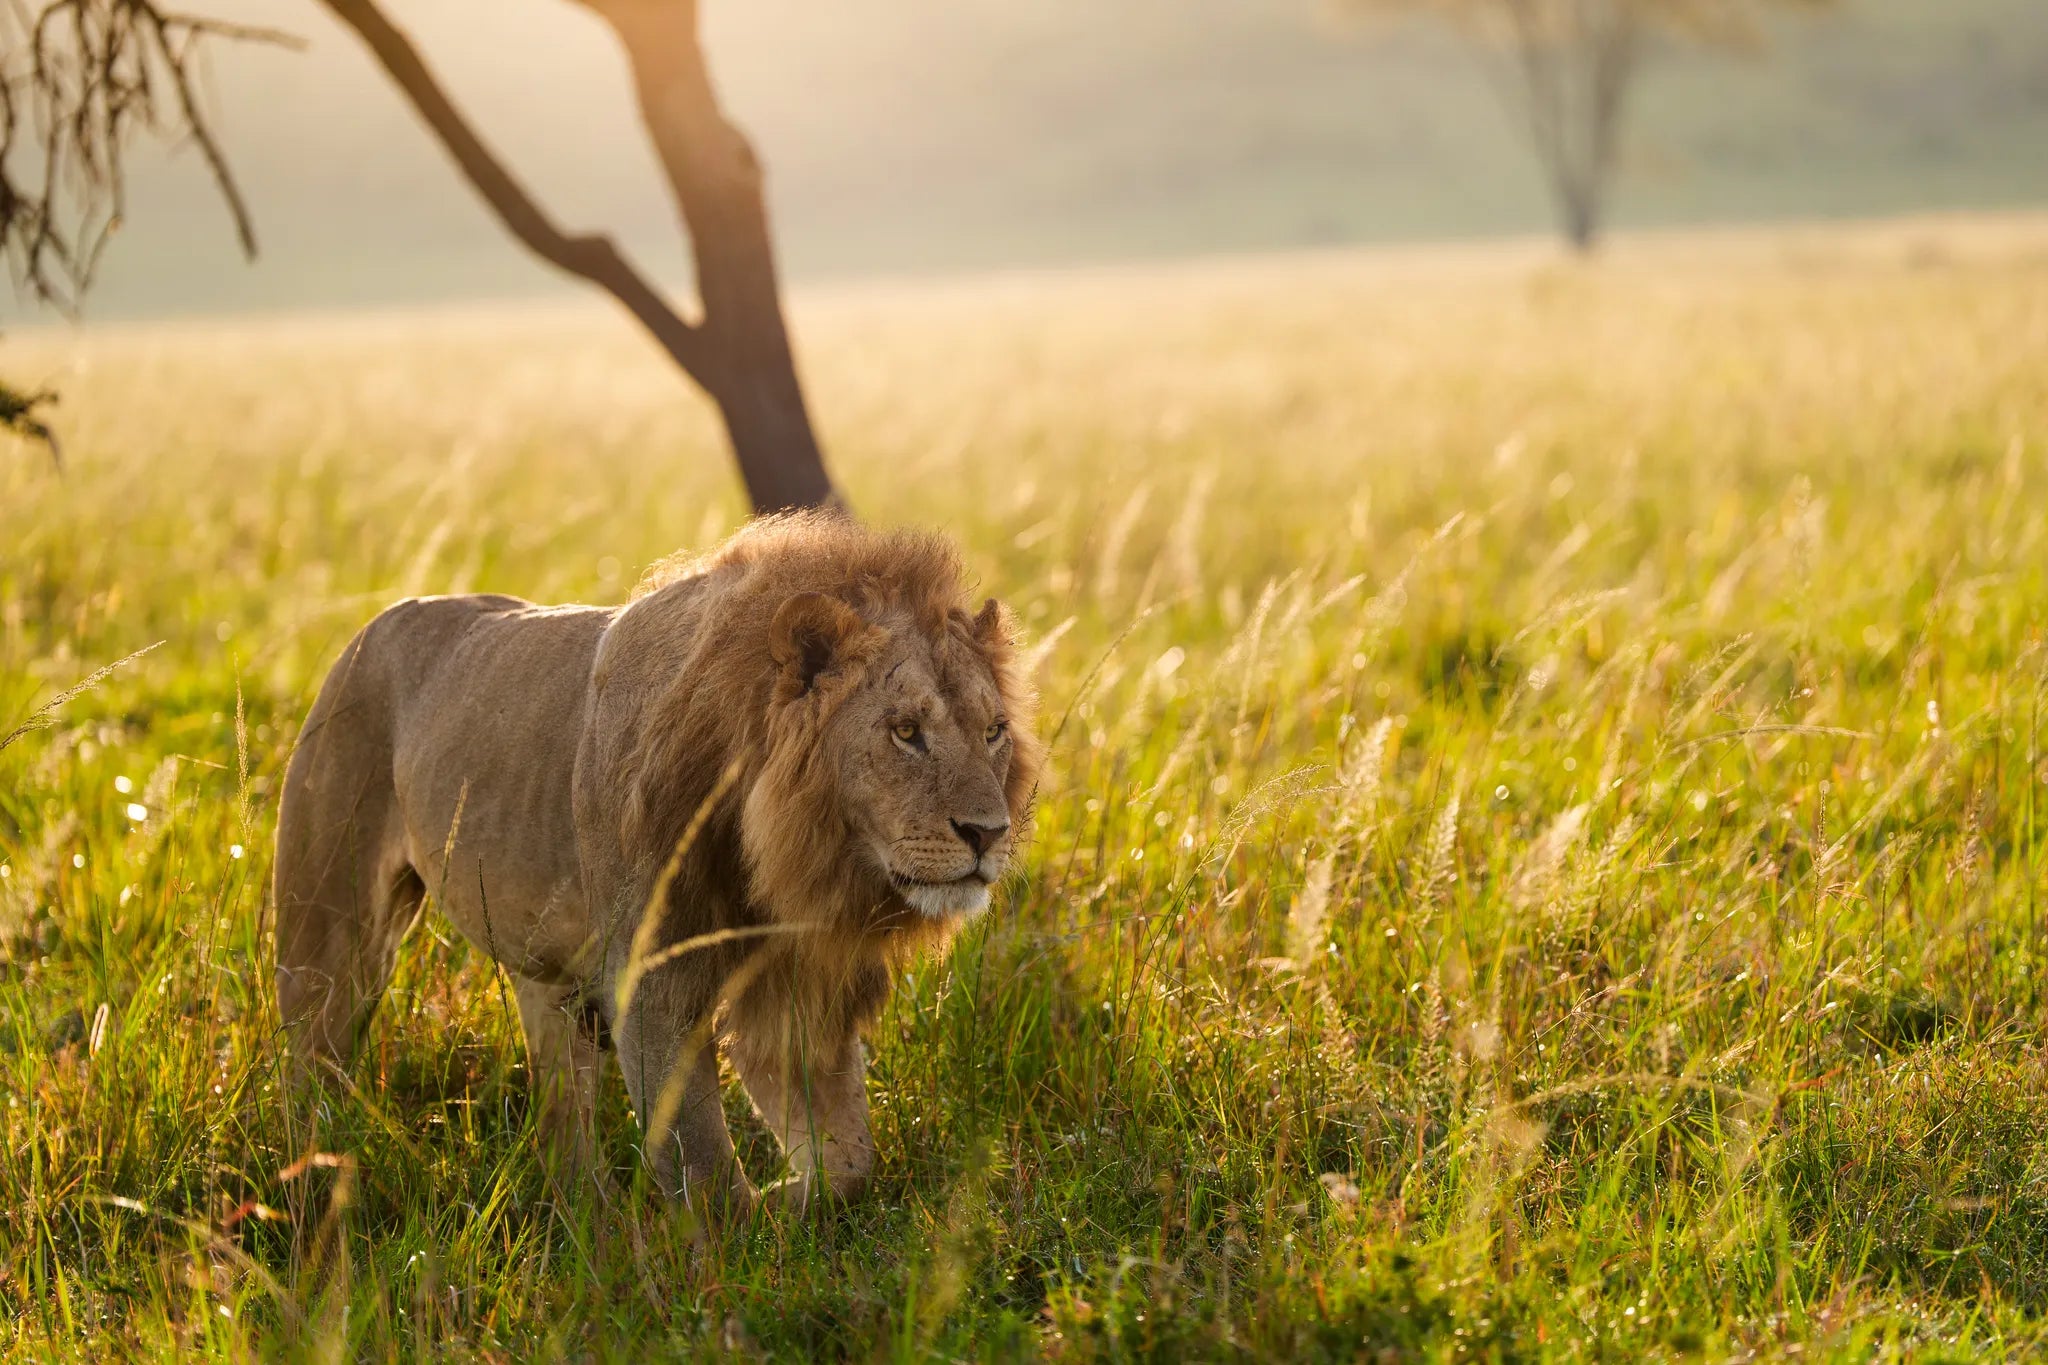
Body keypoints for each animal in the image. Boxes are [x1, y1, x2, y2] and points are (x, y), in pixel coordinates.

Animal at [272, 512, 1042, 1215]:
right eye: (905, 731)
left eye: (993, 730)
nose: (988, 833)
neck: (780, 851)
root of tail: (381, 619)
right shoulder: (651, 979)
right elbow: (704, 1171)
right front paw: (741, 1246)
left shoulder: (790, 980)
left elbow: (850, 1161)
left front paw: (792, 1199)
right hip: (330, 925)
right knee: (312, 1058)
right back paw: (316, 1175)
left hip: (544, 979)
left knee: (562, 1121)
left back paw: (593, 1220)